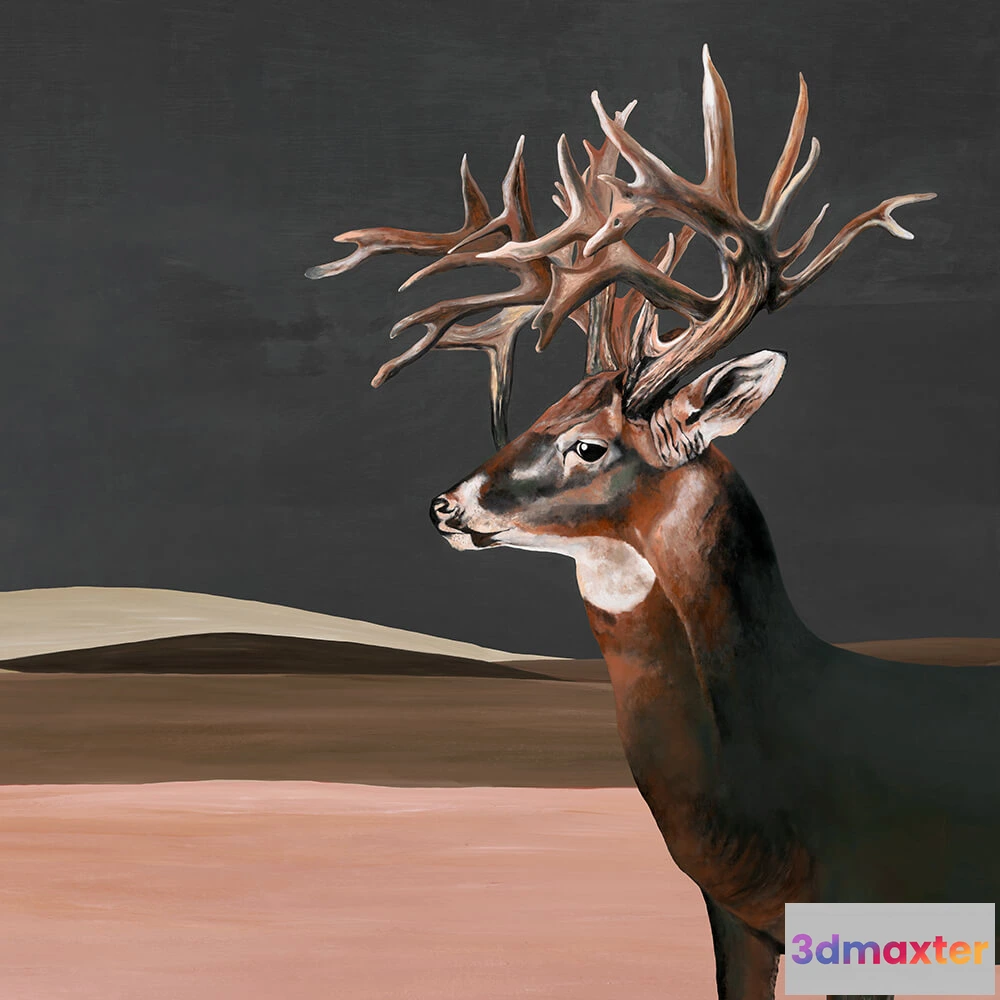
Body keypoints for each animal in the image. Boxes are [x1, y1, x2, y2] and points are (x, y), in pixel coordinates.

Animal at [307, 46, 999, 1000]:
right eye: (539, 411)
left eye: (590, 445)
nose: (449, 503)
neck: (784, 763)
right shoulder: (736, 914)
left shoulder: (874, 903)